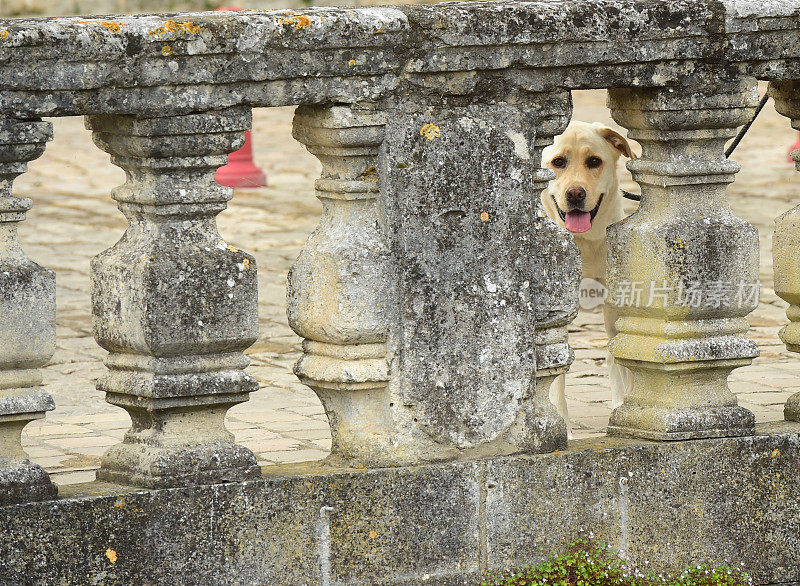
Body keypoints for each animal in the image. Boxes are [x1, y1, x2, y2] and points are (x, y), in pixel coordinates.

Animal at [536, 121, 636, 436]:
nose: (576, 194)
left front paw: (623, 409)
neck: (586, 242)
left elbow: (619, 359)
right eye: (558, 162)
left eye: (594, 161)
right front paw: (562, 429)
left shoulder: (616, 306)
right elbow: (555, 376)